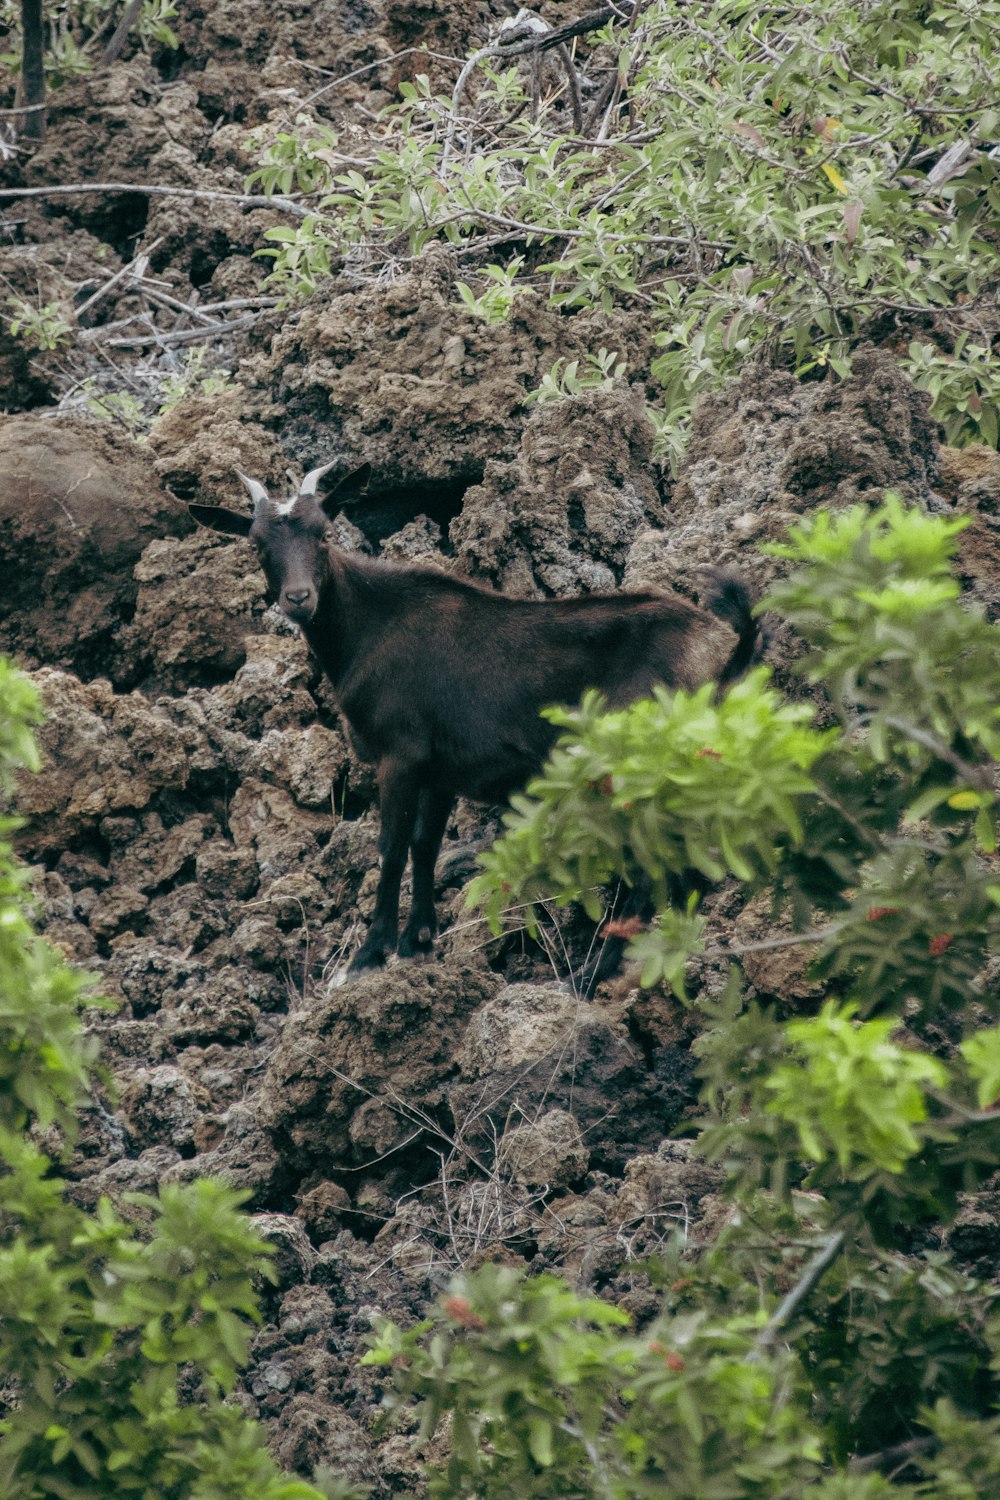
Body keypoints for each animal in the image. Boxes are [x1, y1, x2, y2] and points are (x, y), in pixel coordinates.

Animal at [191, 465, 761, 972]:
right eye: (256, 544)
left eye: (324, 532)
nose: (298, 599)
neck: (370, 628)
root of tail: (724, 647)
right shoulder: (442, 769)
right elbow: (424, 846)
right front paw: (418, 941)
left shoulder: (400, 755)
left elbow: (391, 848)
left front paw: (369, 955)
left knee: (654, 858)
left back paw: (594, 973)